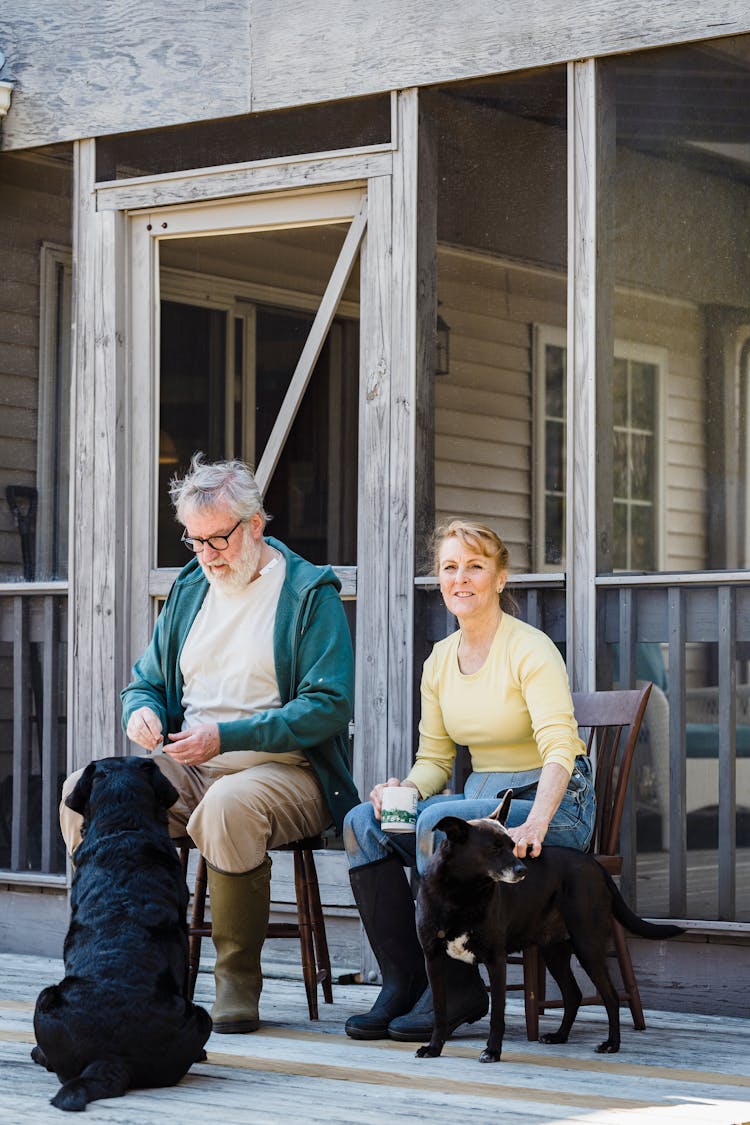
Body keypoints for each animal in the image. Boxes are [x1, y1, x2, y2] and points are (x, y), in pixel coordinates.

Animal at [413, 792, 683, 1062]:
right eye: (494, 848)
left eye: (512, 846)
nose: (523, 870)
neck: (460, 894)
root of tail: (597, 866)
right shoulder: (432, 958)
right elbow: (440, 1011)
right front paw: (434, 1048)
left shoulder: (495, 960)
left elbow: (497, 1015)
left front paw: (492, 1051)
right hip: (554, 951)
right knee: (573, 995)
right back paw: (560, 1036)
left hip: (587, 946)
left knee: (611, 996)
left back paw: (611, 1044)